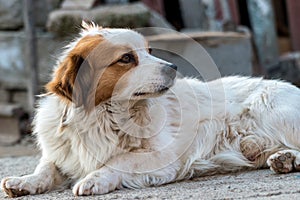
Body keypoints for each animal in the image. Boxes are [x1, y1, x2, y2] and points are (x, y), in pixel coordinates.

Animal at [1, 21, 300, 197]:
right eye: (126, 58)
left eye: (149, 50)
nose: (174, 67)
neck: (103, 116)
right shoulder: (62, 150)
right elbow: (46, 167)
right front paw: (25, 181)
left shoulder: (163, 156)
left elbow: (119, 160)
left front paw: (95, 178)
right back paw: (283, 159)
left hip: (271, 107)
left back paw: (288, 159)